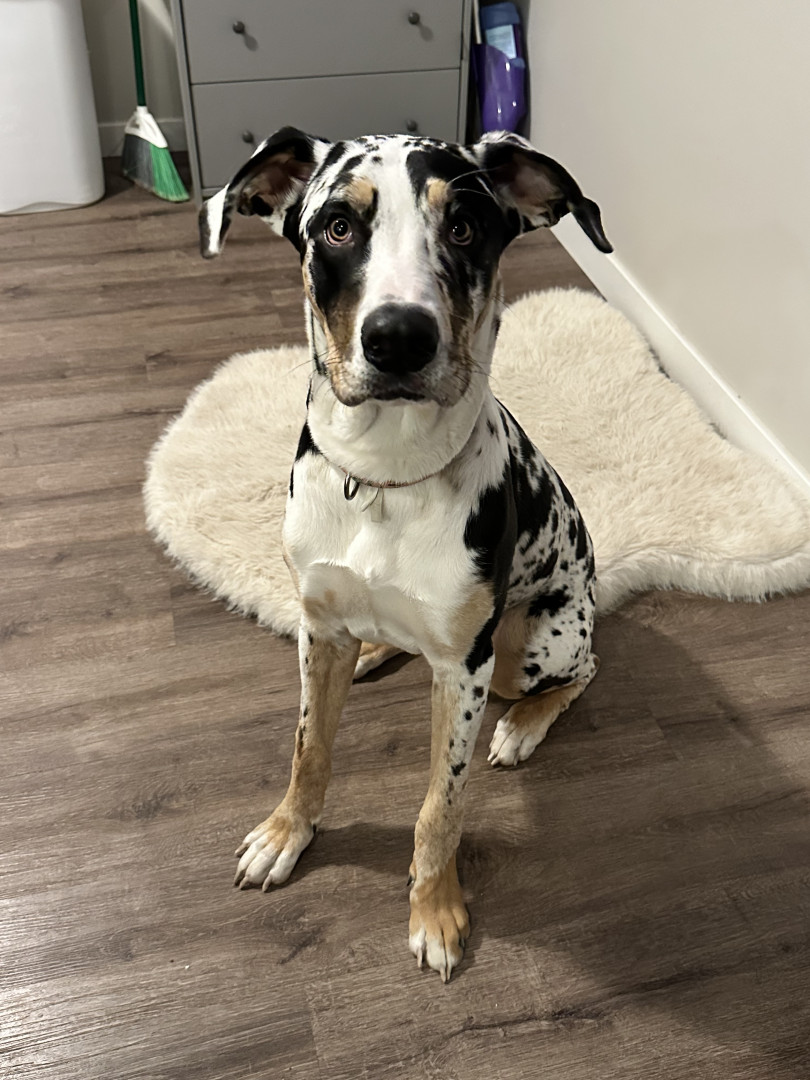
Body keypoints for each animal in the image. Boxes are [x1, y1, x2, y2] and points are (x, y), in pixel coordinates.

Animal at [199, 126, 612, 981]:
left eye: (465, 227)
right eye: (336, 227)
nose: (398, 338)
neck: (385, 475)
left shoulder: (463, 672)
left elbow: (439, 810)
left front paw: (436, 910)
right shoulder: (316, 627)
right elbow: (309, 749)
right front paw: (286, 834)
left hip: (531, 646)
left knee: (583, 671)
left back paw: (523, 727)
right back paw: (375, 654)